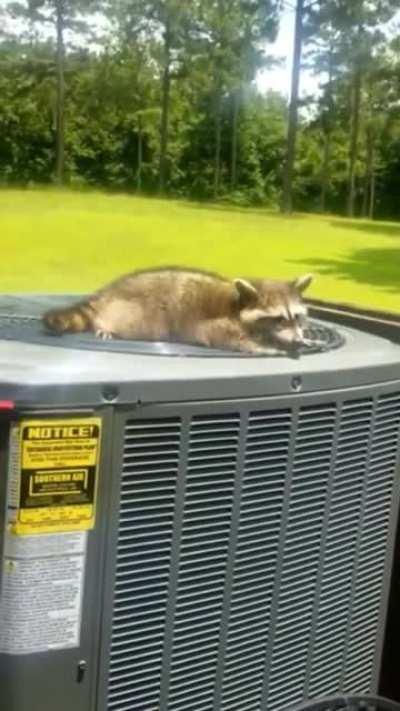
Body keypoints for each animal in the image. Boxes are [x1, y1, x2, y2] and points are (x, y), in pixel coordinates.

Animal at [43, 267, 313, 355]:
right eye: (278, 319)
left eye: (297, 317)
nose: (297, 341)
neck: (237, 304)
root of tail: (107, 293)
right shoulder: (215, 325)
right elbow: (234, 339)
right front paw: (268, 345)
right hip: (133, 312)